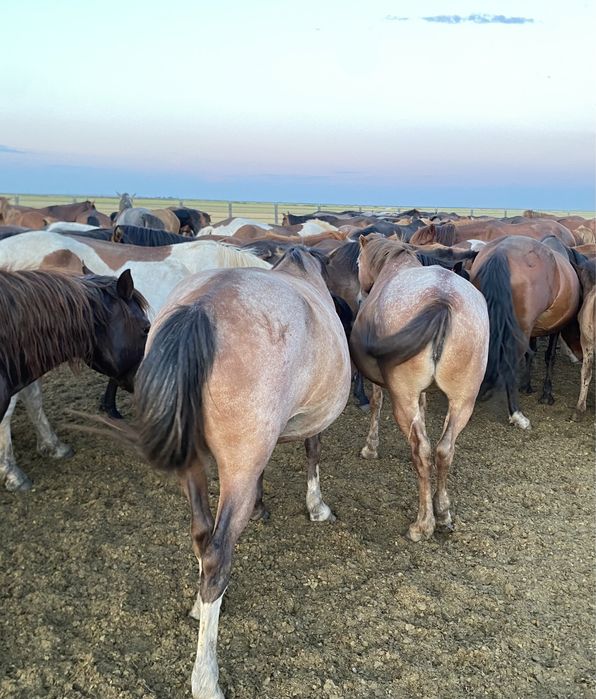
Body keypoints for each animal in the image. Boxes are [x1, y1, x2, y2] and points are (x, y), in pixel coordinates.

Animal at [95, 246, 350, 698]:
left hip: (194, 464)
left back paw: (201, 605)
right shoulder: (308, 423)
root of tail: (201, 308)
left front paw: (264, 505)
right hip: (235, 467)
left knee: (201, 534)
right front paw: (316, 506)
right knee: (217, 555)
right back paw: (206, 677)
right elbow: (313, 450)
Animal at [349, 234, 489, 542]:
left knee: (422, 451)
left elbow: (376, 404)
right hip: (463, 400)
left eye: (358, 263)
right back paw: (443, 512)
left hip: (404, 397)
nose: (359, 295)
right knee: (444, 450)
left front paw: (370, 448)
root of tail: (443, 298)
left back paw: (423, 524)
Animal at [469, 235, 581, 429]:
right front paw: (546, 394)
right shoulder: (554, 329)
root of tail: (502, 251)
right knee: (510, 363)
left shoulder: (534, 330)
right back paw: (517, 414)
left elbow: (532, 353)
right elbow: (549, 356)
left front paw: (527, 385)